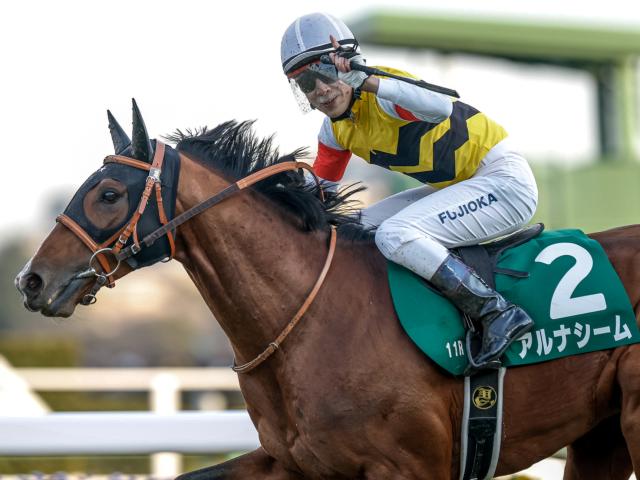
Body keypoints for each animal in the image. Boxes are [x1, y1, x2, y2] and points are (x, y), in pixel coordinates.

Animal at [15, 101, 640, 479]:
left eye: (109, 195)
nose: (31, 280)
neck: (307, 322)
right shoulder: (293, 462)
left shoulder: (412, 466)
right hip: (599, 435)